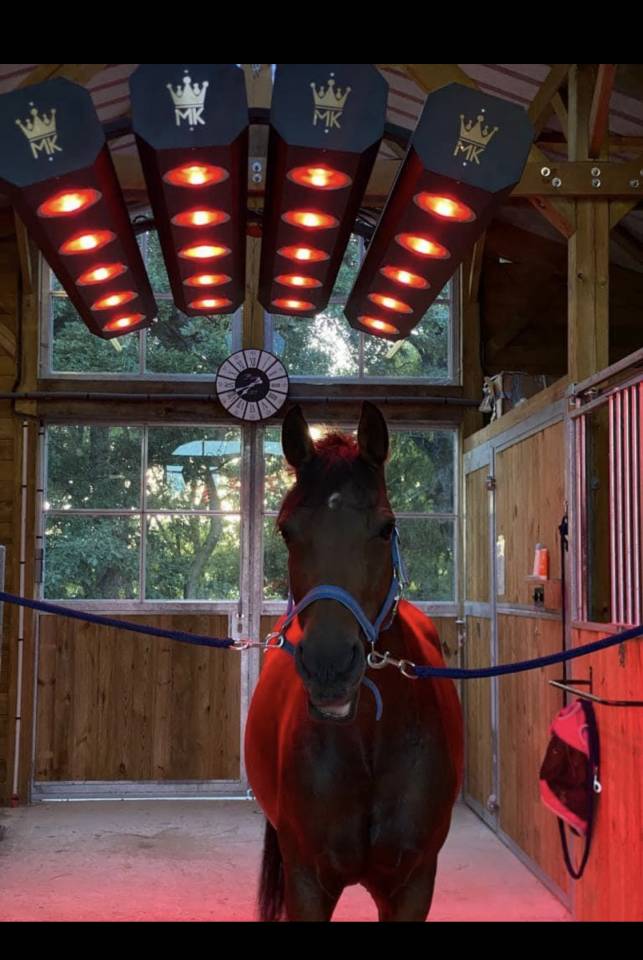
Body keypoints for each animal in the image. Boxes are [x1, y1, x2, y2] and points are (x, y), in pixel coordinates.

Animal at [244, 402, 463, 922]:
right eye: (286, 530)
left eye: (386, 528)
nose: (329, 667)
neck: (370, 742)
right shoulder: (307, 883)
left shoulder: (412, 885)